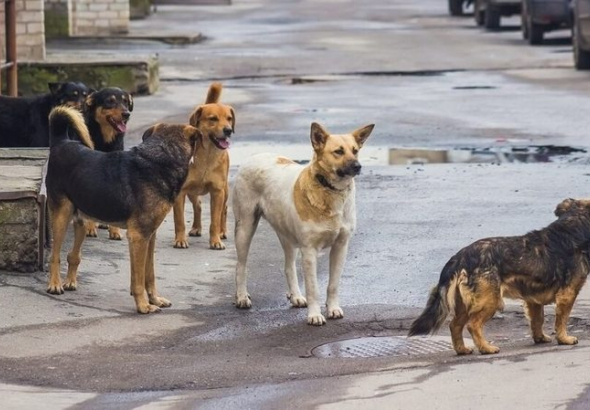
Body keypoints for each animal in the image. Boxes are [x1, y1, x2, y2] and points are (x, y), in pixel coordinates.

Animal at [82, 87, 134, 240]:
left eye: (125, 102)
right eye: (110, 101)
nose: (126, 114)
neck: (105, 140)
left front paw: (115, 231)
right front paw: (90, 228)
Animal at [173, 82, 236, 250]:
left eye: (229, 119)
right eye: (213, 119)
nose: (228, 130)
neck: (207, 156)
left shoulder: (217, 192)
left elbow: (214, 220)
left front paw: (215, 240)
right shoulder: (180, 193)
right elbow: (179, 220)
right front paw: (180, 239)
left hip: (225, 191)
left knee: (224, 210)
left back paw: (222, 231)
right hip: (192, 191)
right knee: (198, 205)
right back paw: (196, 228)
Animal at [232, 120, 374, 326]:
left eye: (355, 150)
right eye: (338, 152)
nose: (358, 166)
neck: (329, 190)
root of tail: (255, 156)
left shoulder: (341, 247)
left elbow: (333, 284)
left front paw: (333, 308)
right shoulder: (309, 251)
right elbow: (313, 288)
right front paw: (314, 315)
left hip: (287, 236)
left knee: (288, 267)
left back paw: (296, 296)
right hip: (245, 227)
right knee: (241, 266)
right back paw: (242, 297)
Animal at [412, 197, 590, 354]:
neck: (573, 227)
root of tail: (461, 256)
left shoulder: (533, 299)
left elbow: (537, 320)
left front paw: (540, 338)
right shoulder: (567, 294)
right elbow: (562, 320)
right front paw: (564, 339)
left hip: (465, 304)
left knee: (455, 325)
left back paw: (462, 349)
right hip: (491, 301)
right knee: (473, 325)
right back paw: (486, 348)